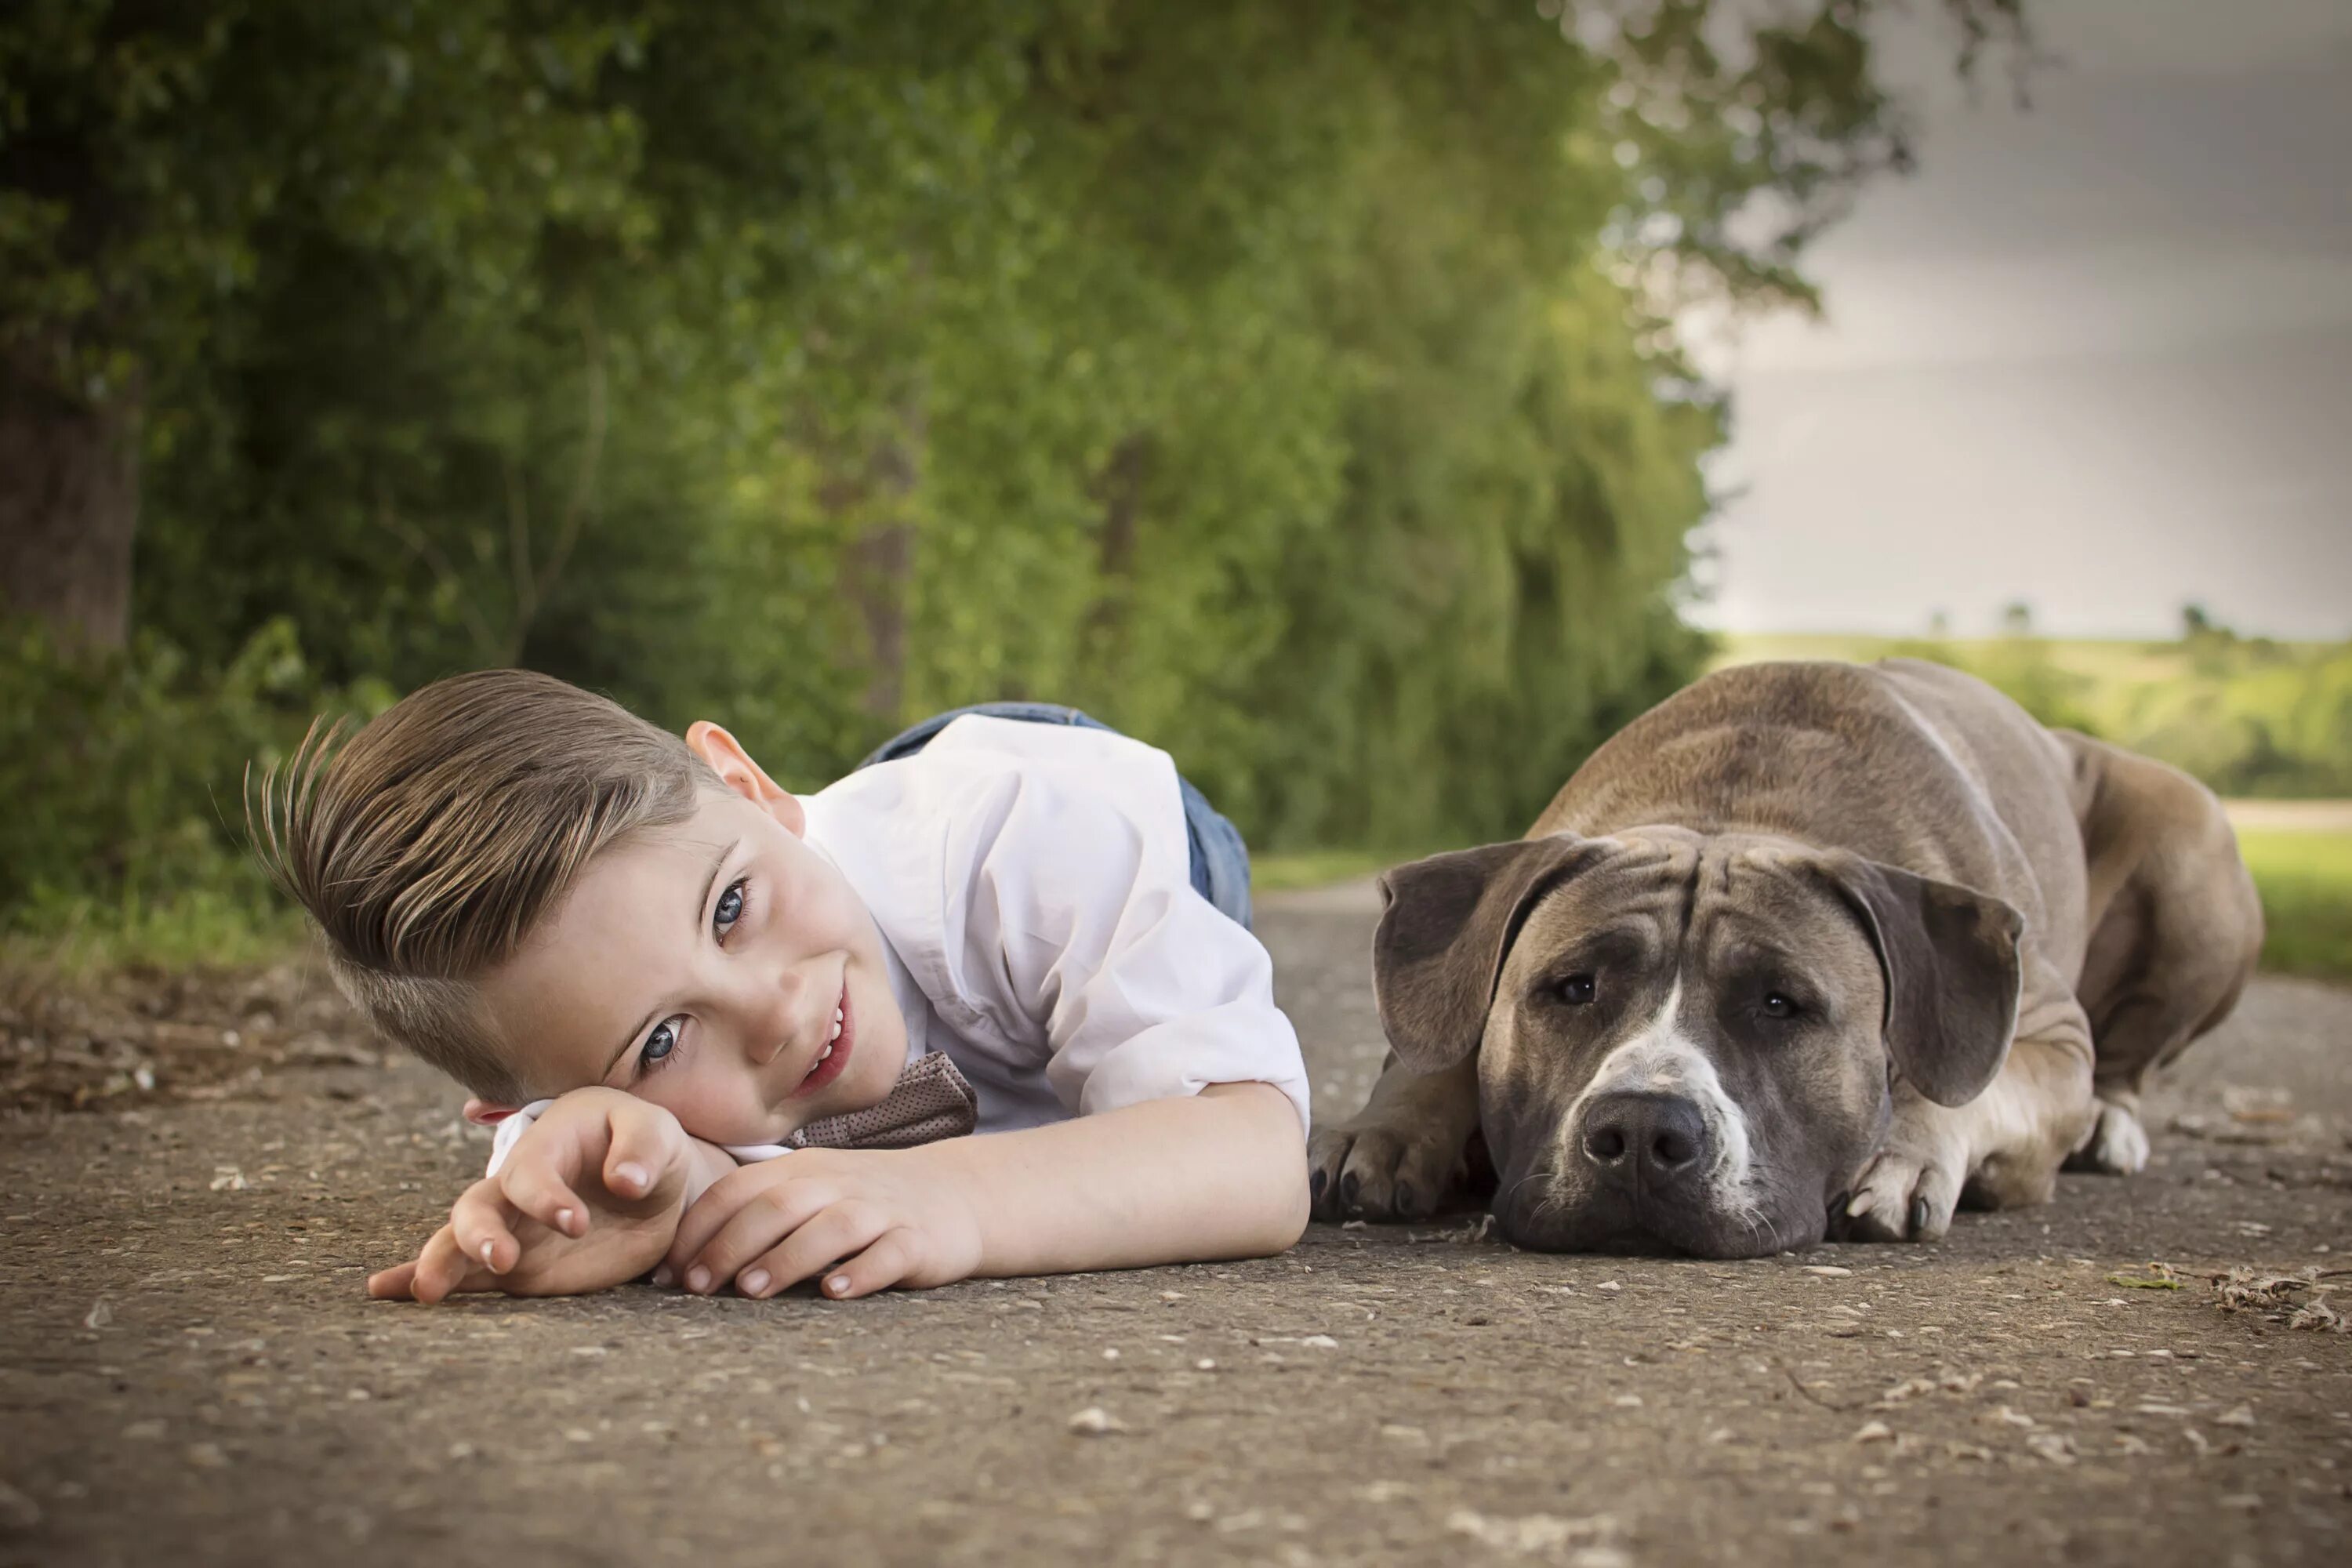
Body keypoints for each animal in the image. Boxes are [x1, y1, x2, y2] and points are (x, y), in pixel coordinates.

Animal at [1308, 658, 2258, 1260]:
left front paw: (1902, 1152)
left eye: (1779, 1003)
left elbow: (1971, 1086)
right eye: (1572, 988)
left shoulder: (2054, 1033)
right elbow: (1436, 1045)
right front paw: (1379, 1131)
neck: (1731, 808)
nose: (1642, 1132)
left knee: (2132, 1061)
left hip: (2195, 848)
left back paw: (2109, 1127)